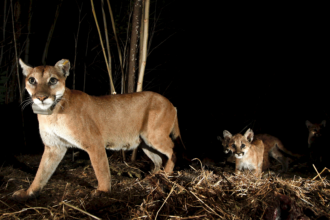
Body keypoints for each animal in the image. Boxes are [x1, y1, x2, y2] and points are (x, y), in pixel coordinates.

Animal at [12, 58, 183, 201]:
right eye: (32, 80)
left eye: (53, 80)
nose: (41, 98)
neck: (51, 113)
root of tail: (171, 103)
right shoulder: (54, 146)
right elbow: (41, 172)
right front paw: (28, 193)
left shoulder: (94, 143)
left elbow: (101, 169)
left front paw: (103, 191)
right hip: (144, 142)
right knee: (158, 159)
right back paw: (152, 177)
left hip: (154, 135)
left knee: (173, 150)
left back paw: (167, 174)